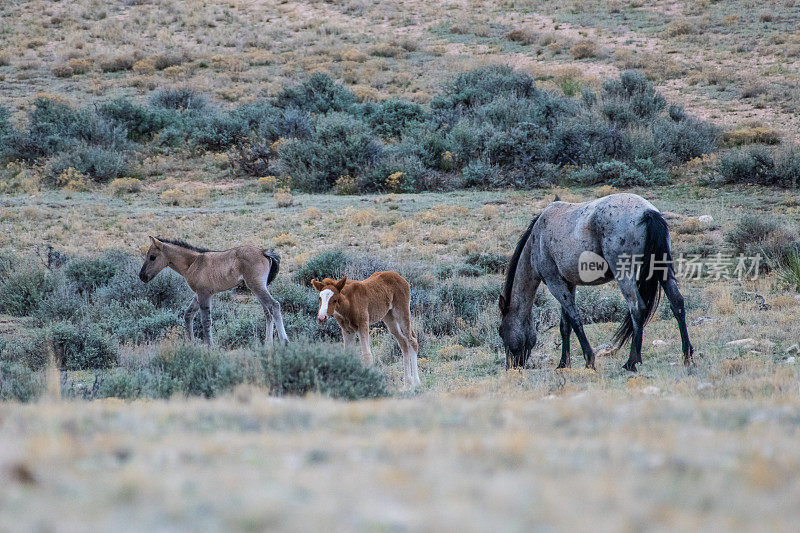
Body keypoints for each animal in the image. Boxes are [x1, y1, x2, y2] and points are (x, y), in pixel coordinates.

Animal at [139, 236, 290, 344]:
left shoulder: (204, 294)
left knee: (274, 306)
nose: (142, 276)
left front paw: (210, 346)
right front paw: (191, 343)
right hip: (259, 288)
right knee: (267, 312)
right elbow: (188, 315)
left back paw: (284, 341)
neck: (193, 262)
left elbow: (206, 321)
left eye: (152, 257)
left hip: (256, 286)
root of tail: (262, 252)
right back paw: (268, 343)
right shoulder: (198, 294)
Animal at [500, 193, 692, 372]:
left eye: (501, 333)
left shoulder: (555, 284)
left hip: (625, 275)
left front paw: (589, 360)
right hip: (662, 269)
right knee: (677, 303)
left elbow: (575, 320)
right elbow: (565, 325)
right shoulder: (568, 284)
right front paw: (563, 364)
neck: (537, 240)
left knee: (637, 309)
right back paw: (687, 355)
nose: (512, 367)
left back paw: (631, 362)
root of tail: (647, 212)